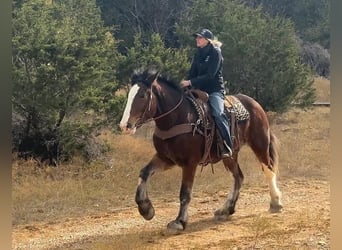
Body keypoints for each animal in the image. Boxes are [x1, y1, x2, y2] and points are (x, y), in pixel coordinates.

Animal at [120, 68, 284, 230]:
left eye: (142, 95)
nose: (124, 126)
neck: (178, 117)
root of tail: (255, 104)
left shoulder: (189, 163)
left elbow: (185, 193)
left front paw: (179, 221)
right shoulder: (165, 158)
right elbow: (144, 173)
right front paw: (146, 209)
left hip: (260, 143)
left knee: (268, 169)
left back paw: (275, 202)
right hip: (230, 155)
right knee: (238, 177)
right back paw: (226, 209)